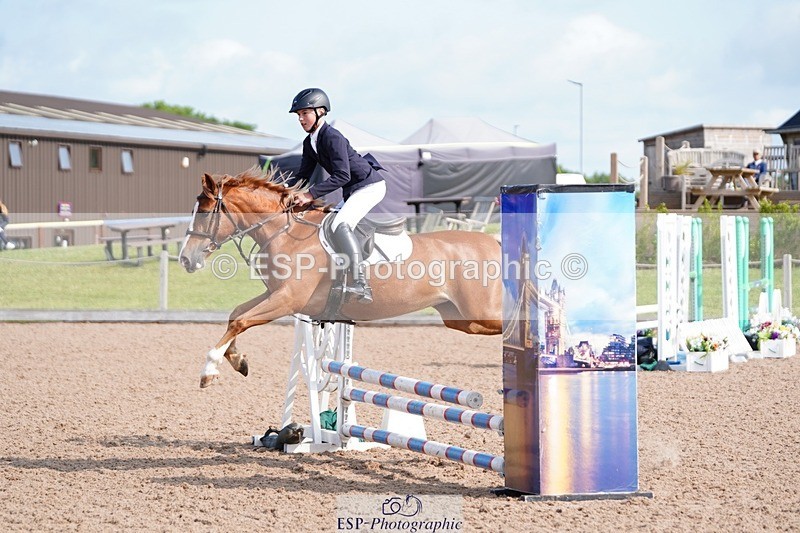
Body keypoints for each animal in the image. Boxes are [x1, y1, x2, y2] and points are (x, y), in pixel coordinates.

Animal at [179, 167, 502, 388]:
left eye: (205, 213)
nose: (185, 259)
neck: (287, 233)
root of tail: (493, 241)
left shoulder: (287, 300)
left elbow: (240, 321)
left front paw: (209, 370)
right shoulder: (276, 295)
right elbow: (236, 315)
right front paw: (238, 361)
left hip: (479, 310)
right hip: (459, 317)